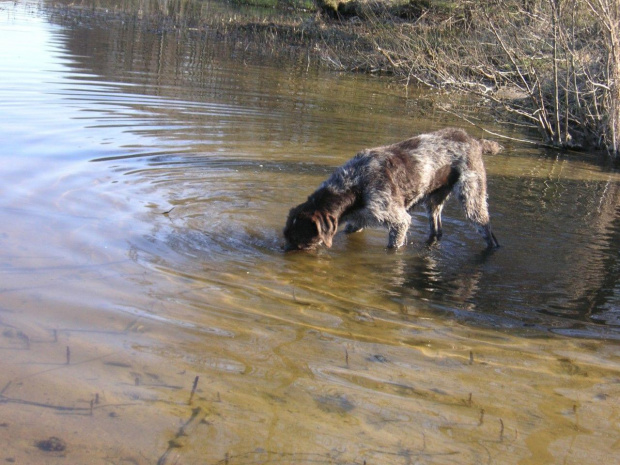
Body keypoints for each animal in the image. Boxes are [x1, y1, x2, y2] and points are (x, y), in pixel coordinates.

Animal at [284, 127, 502, 250]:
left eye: (302, 243)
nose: (283, 250)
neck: (353, 185)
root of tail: (475, 141)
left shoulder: (399, 222)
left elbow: (393, 246)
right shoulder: (357, 221)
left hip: (472, 199)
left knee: (488, 232)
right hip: (433, 200)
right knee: (437, 228)